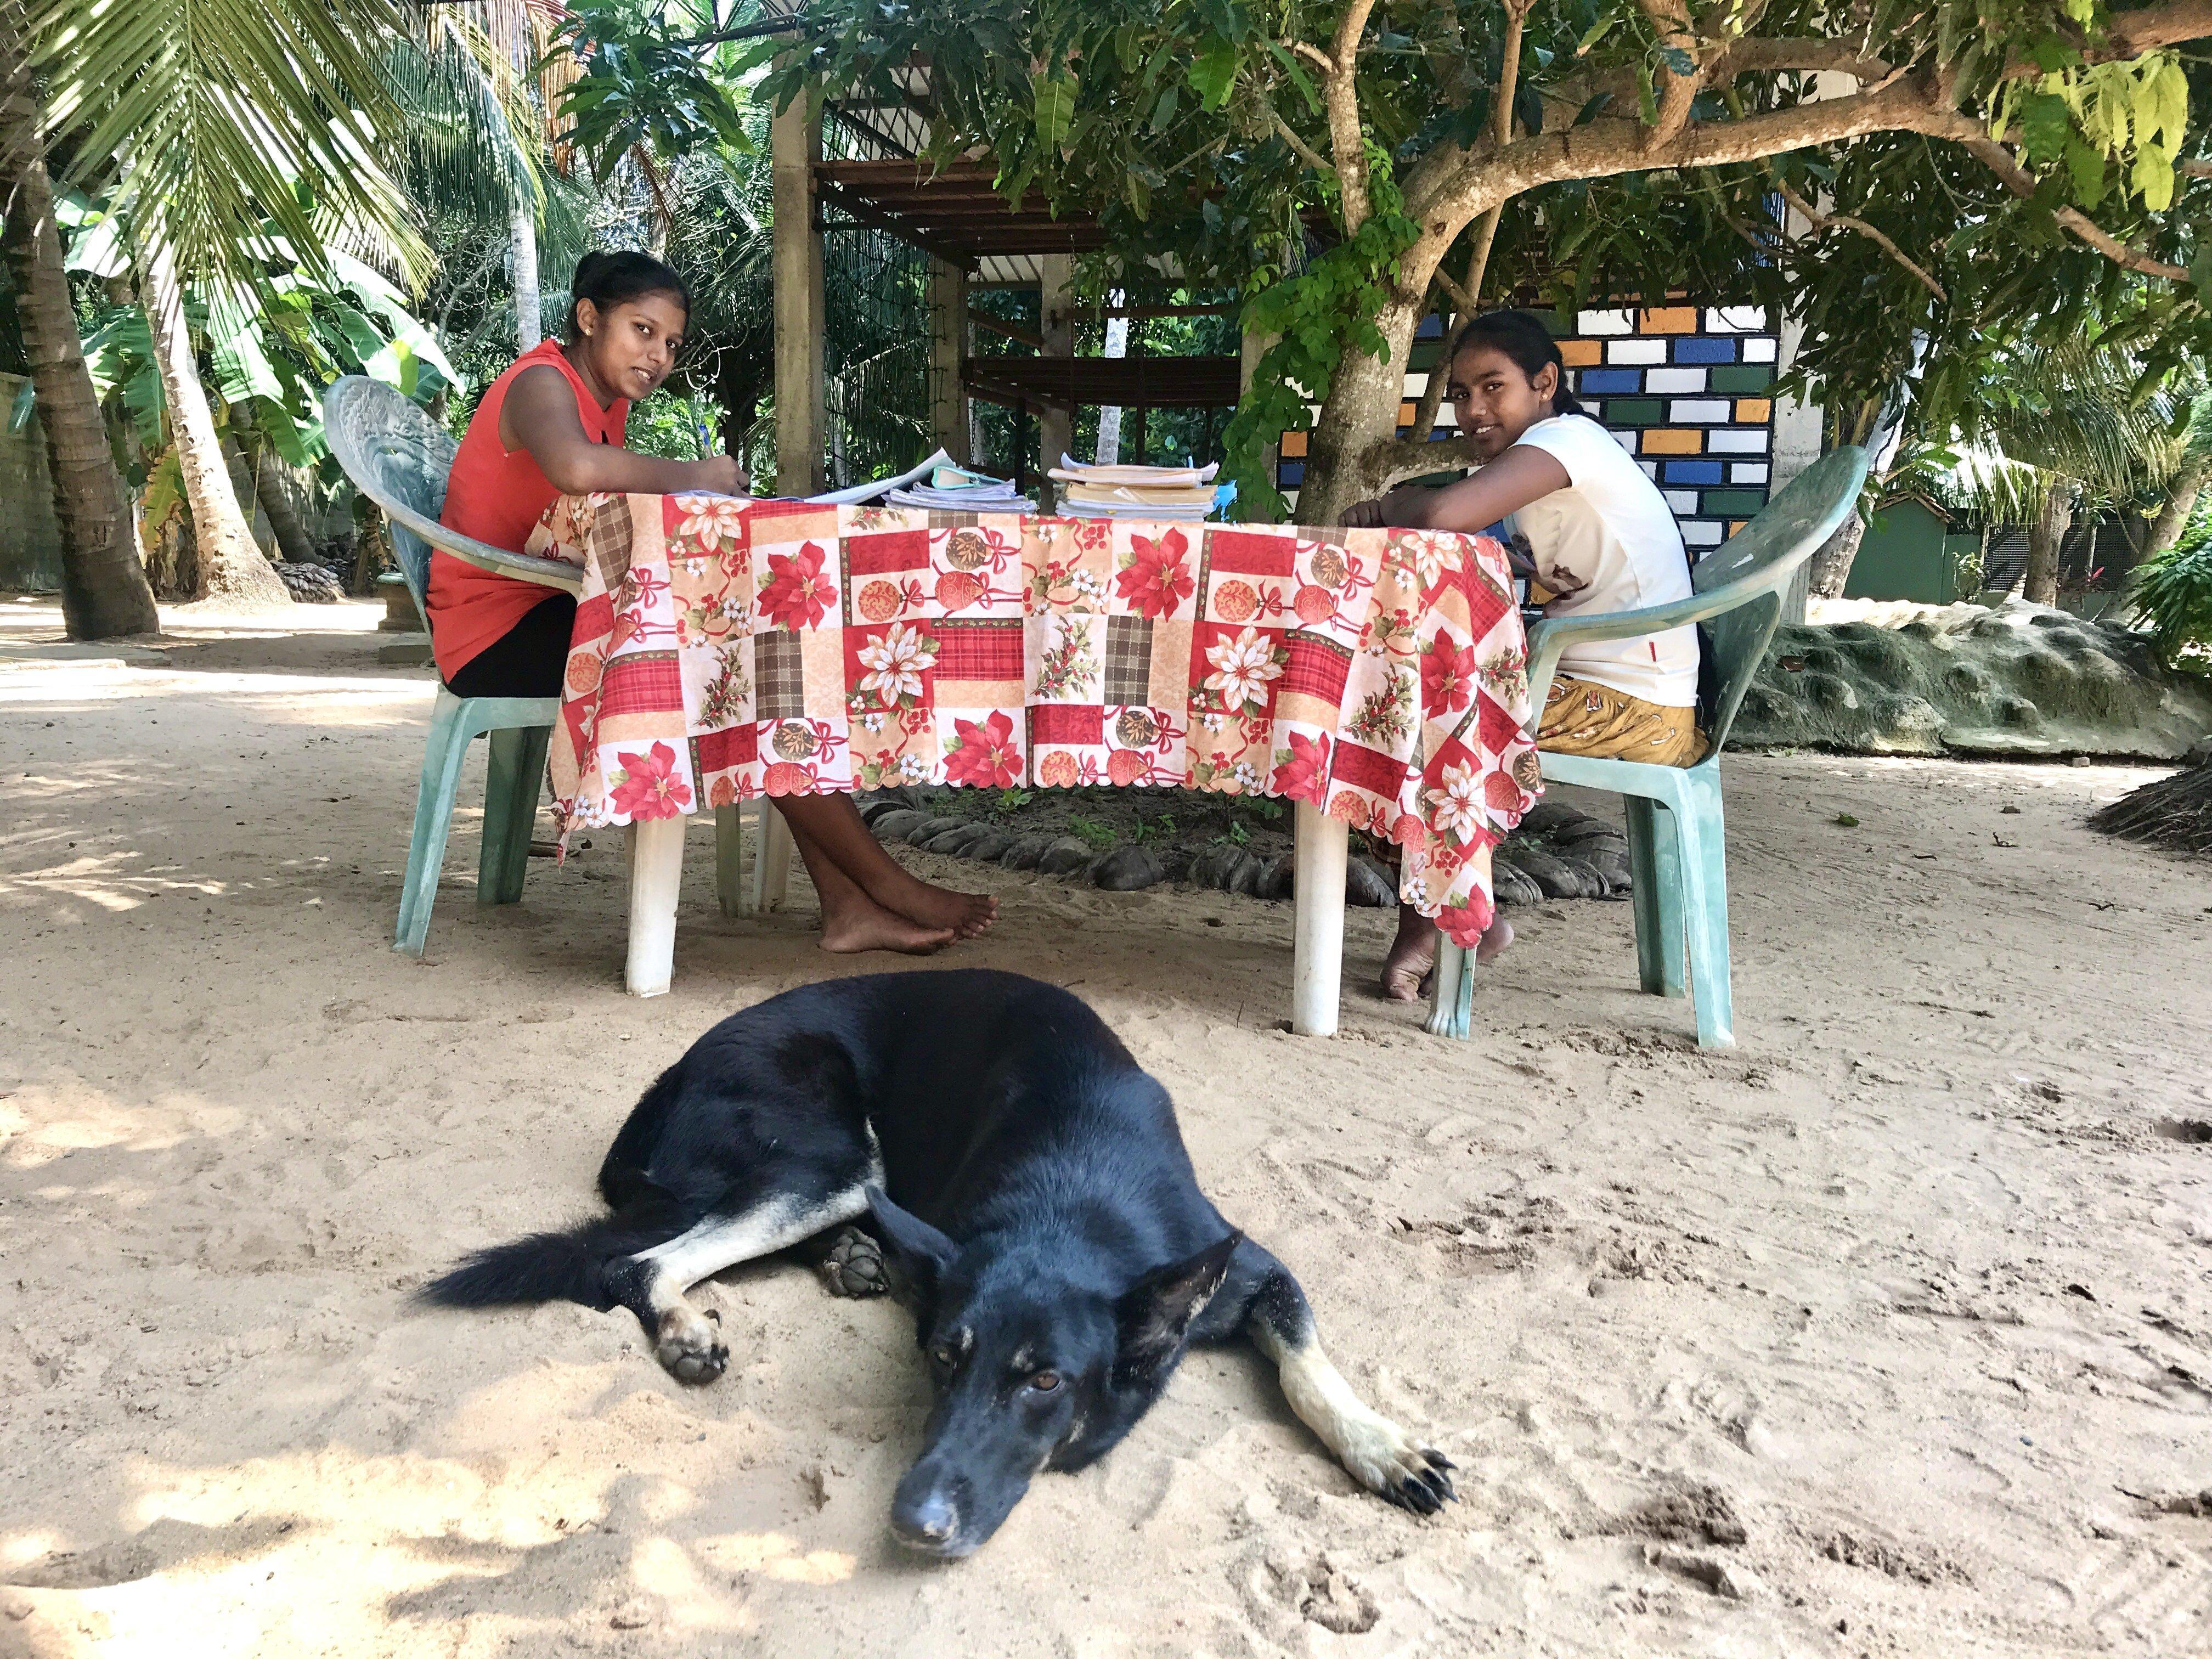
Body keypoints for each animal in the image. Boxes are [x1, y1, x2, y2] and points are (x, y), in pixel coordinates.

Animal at [423, 970, 1453, 1556]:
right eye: (941, 1359)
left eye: (1045, 1380)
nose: (909, 1523)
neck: (1072, 1202)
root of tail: (666, 1080)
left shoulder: (1256, 1272)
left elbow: (1310, 1366)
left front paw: (1381, 1445)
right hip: (830, 1157)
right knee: (638, 1265)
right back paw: (688, 1323)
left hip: (840, 1172)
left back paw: (849, 1257)